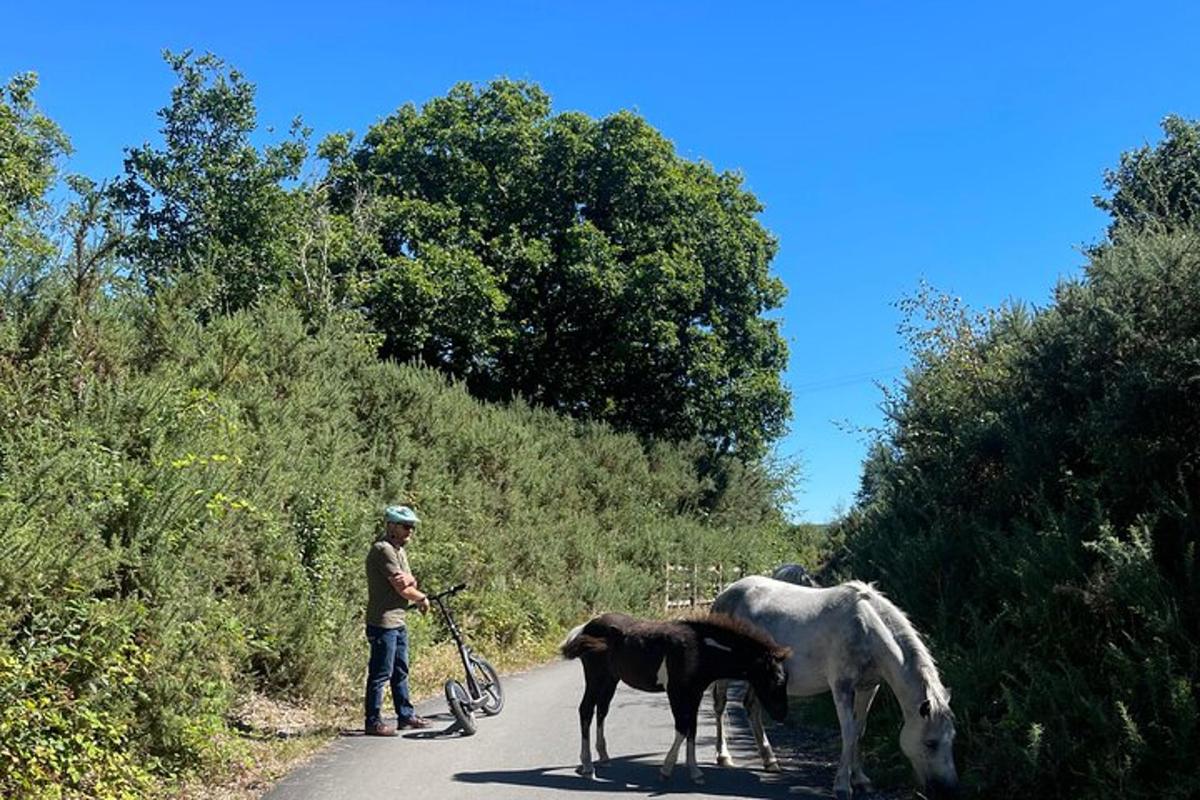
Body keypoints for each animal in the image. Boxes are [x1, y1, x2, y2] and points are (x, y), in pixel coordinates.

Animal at [559, 614, 787, 782]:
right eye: (776, 679)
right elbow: (682, 727)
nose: (782, 715)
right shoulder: (675, 691)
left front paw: (695, 772)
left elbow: (692, 729)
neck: (699, 648)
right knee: (586, 710)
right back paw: (588, 766)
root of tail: (584, 628)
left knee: (601, 710)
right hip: (595, 677)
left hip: (610, 678)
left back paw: (603, 757)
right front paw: (667, 769)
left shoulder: (694, 693)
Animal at [710, 575, 955, 800]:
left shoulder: (868, 687)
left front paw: (861, 780)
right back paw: (724, 756)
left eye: (952, 739)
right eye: (930, 743)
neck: (867, 629)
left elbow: (859, 730)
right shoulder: (842, 687)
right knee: (720, 705)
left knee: (751, 706)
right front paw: (842, 786)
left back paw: (770, 760)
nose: (948, 790)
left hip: (761, 676)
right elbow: (848, 732)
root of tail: (726, 593)